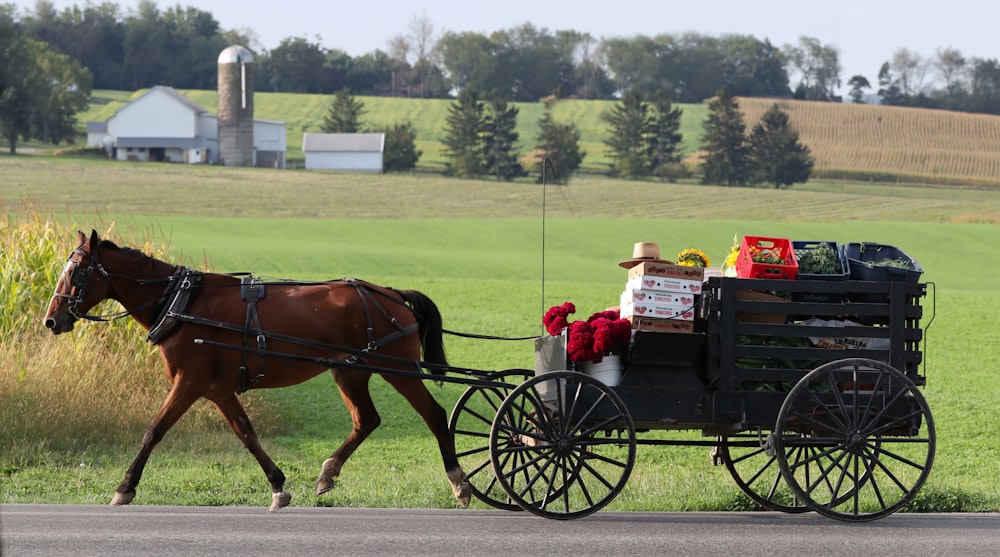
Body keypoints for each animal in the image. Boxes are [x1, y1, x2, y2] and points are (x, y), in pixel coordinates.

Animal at [43, 228, 472, 510]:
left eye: (77, 272)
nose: (51, 320)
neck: (181, 302)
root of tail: (391, 293)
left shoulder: (190, 381)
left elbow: (154, 430)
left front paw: (125, 487)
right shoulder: (217, 389)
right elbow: (246, 434)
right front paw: (279, 486)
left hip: (397, 368)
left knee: (435, 415)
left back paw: (459, 482)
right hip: (350, 371)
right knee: (366, 420)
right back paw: (328, 472)